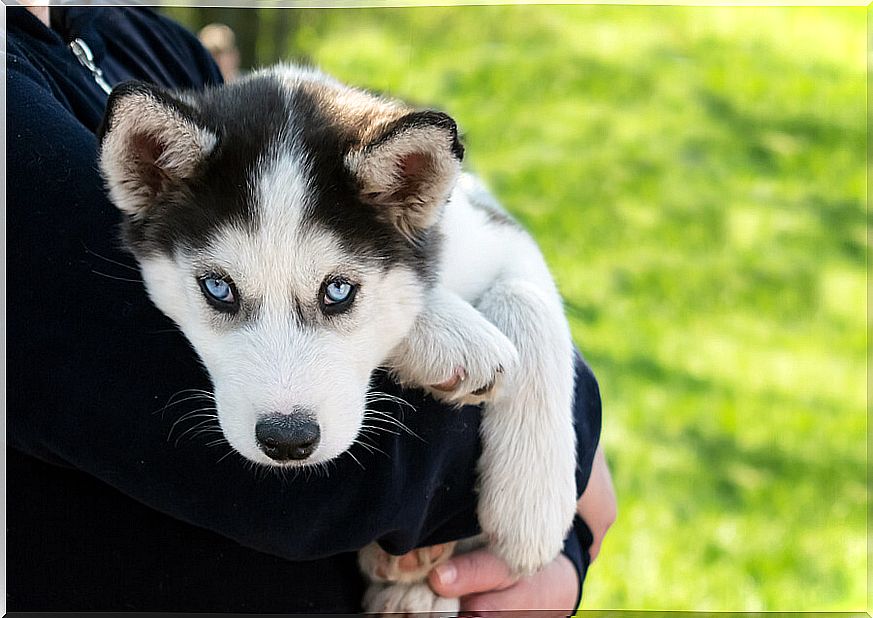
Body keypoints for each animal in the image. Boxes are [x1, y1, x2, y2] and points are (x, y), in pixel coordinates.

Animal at [99, 65, 576, 608]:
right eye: (218, 288)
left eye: (338, 290)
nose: (287, 441)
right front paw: (451, 335)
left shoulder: (492, 227)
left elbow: (527, 297)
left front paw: (533, 508)